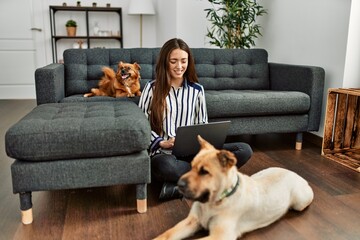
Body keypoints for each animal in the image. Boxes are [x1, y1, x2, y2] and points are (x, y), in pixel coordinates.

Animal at [153, 136, 314, 239]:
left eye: (204, 172)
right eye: (191, 166)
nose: (179, 184)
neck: (214, 202)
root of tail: (293, 172)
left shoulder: (221, 235)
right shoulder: (191, 221)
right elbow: (166, 235)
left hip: (300, 201)